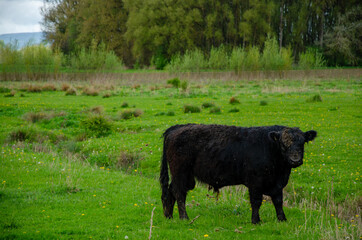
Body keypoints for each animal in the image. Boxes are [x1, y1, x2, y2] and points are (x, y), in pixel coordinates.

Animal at [159, 124, 316, 223]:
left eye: (302, 142)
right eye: (283, 144)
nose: (295, 160)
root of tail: (178, 127)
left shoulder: (277, 184)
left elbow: (278, 201)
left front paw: (282, 219)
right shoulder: (255, 183)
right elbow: (256, 202)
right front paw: (256, 221)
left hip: (185, 176)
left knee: (171, 192)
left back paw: (169, 216)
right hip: (180, 172)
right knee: (179, 193)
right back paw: (184, 217)